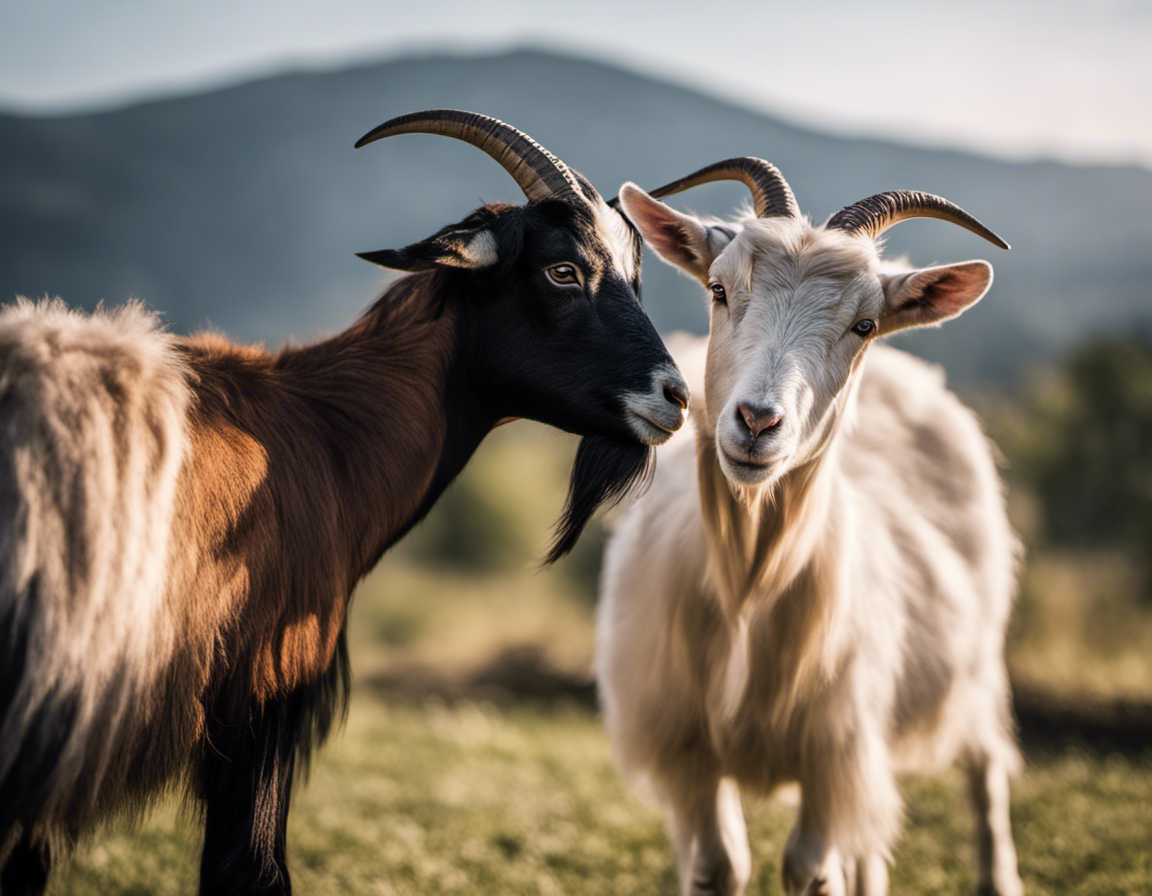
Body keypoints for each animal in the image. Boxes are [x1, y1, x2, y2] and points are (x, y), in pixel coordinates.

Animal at [599, 160, 1022, 893]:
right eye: (718, 288)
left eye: (865, 324)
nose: (757, 421)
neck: (747, 583)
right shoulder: (689, 750)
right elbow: (717, 865)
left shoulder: (835, 752)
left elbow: (810, 869)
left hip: (973, 666)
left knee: (986, 767)